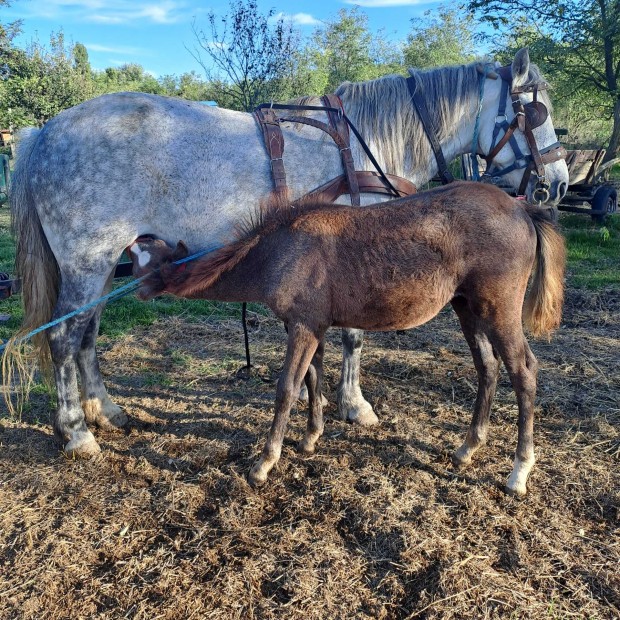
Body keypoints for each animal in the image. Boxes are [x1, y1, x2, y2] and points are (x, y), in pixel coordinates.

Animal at [6, 48, 568, 458]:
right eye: (536, 112)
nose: (558, 184)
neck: (360, 146)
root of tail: (42, 134)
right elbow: (354, 337)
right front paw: (354, 404)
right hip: (87, 259)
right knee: (63, 337)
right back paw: (77, 431)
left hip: (105, 265)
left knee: (87, 336)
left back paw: (106, 410)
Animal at [133, 182, 564, 496]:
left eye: (147, 265)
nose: (136, 292)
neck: (280, 249)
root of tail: (522, 209)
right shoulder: (311, 326)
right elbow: (312, 378)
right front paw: (310, 439)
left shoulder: (304, 325)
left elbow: (287, 387)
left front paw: (264, 463)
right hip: (467, 308)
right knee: (487, 367)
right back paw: (466, 449)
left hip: (498, 309)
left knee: (523, 370)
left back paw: (518, 472)